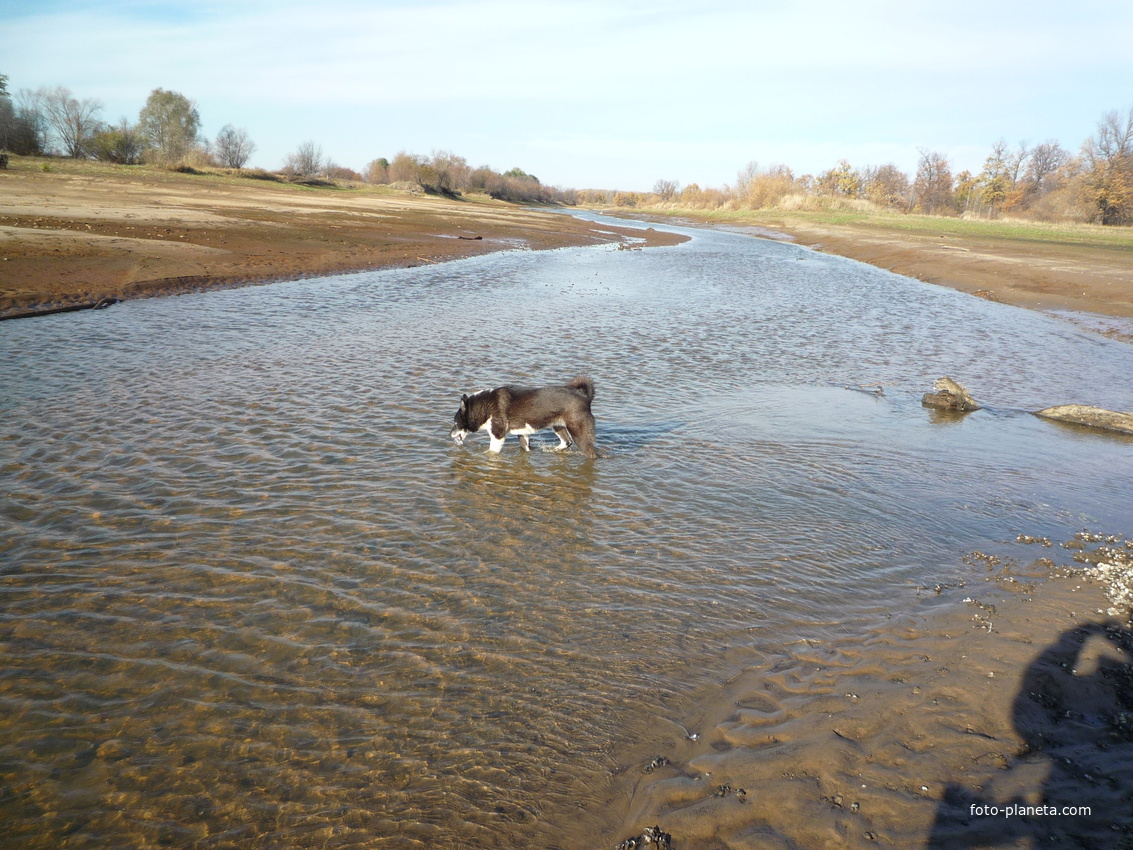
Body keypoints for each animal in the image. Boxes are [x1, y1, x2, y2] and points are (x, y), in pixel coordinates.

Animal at [448, 378, 598, 460]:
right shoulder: (523, 434)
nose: (449, 434)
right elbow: (526, 450)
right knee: (567, 442)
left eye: (455, 423)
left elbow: (491, 452)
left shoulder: (497, 435)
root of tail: (584, 396)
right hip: (558, 426)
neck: (485, 405)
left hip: (579, 434)